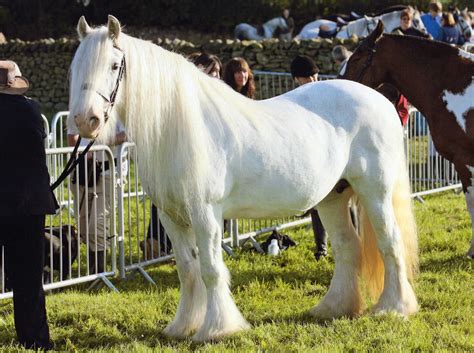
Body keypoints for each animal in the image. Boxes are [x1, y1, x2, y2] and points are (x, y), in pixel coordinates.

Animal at [68, 15, 416, 340]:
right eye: (75, 66)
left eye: (114, 65)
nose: (85, 121)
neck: (179, 127)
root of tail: (379, 99)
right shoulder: (171, 218)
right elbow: (187, 271)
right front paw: (182, 326)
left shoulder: (205, 214)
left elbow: (210, 270)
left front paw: (218, 328)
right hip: (333, 197)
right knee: (347, 248)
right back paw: (334, 308)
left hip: (375, 193)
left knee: (390, 243)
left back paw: (394, 308)